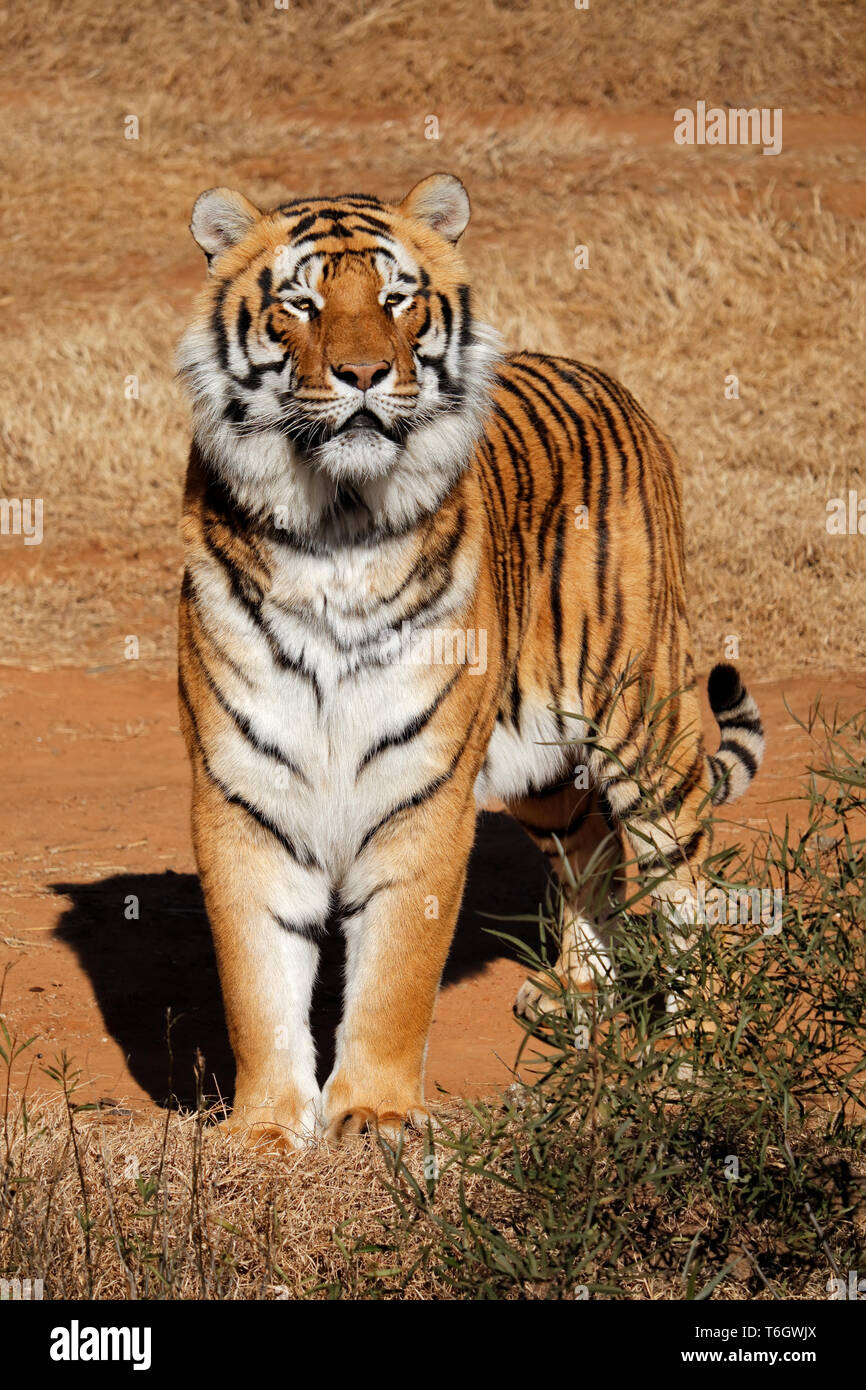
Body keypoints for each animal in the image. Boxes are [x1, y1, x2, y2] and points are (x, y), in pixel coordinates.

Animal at [177, 170, 767, 1150]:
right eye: (301, 304)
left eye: (395, 299)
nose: (365, 374)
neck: (334, 524)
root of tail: (603, 377)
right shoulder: (243, 785)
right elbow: (255, 977)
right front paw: (264, 1131)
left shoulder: (422, 787)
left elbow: (395, 974)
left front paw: (376, 1115)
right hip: (545, 772)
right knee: (595, 853)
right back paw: (574, 994)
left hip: (645, 720)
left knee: (690, 888)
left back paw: (697, 1052)